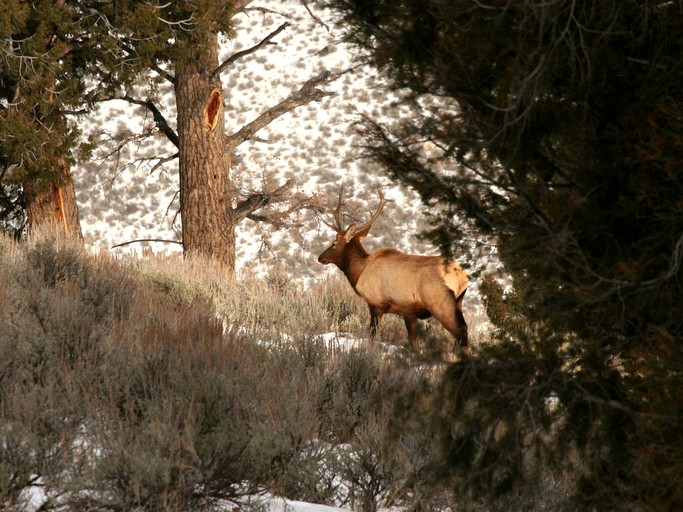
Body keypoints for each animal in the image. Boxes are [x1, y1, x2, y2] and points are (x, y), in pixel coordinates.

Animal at [316, 187, 470, 352]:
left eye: (334, 243)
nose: (320, 257)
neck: (358, 273)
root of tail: (460, 276)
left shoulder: (375, 304)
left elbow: (372, 335)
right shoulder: (408, 312)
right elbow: (413, 343)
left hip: (441, 305)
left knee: (461, 333)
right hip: (458, 303)